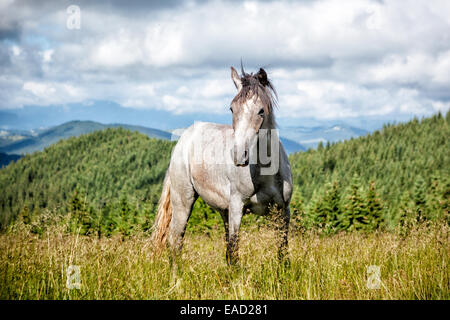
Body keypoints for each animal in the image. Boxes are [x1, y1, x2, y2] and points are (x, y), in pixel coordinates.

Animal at [152, 65, 292, 264]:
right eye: (232, 109)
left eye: (261, 111)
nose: (239, 155)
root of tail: (185, 137)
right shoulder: (237, 208)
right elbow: (234, 253)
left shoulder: (283, 211)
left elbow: (283, 253)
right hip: (183, 203)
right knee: (175, 242)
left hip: (223, 211)